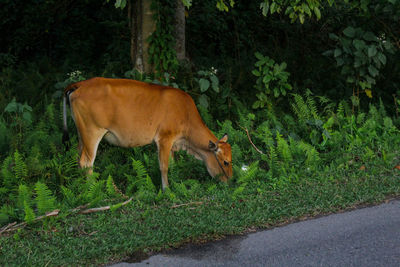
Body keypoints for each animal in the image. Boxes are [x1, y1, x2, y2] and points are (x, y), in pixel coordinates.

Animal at [61, 77, 233, 191]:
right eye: (225, 162)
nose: (230, 181)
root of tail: (80, 84)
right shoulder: (164, 139)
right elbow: (164, 166)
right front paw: (166, 190)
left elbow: (173, 165)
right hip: (92, 132)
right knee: (86, 162)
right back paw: (93, 190)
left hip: (81, 134)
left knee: (77, 158)